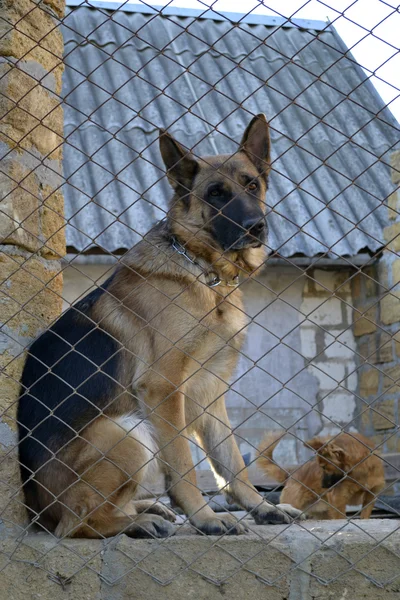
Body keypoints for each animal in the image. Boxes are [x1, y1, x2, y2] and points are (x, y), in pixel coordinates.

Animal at [17, 113, 302, 540]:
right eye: (216, 194)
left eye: (252, 184)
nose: (256, 226)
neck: (205, 273)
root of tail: (40, 512)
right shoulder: (164, 390)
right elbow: (183, 465)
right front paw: (205, 517)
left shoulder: (208, 393)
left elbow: (232, 461)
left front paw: (259, 506)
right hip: (127, 431)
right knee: (79, 523)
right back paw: (140, 522)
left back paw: (147, 508)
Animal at [258, 432, 386, 520]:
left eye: (324, 467)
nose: (322, 486)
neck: (361, 474)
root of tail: (290, 475)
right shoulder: (338, 500)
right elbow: (341, 518)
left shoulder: (371, 496)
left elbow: (365, 516)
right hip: (294, 504)